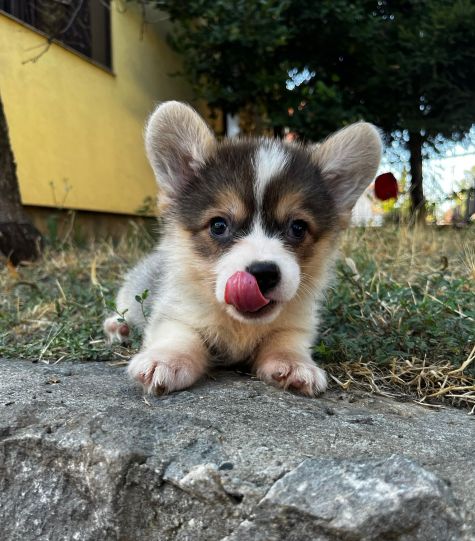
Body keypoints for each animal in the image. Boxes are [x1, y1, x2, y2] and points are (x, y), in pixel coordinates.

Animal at [105, 102, 384, 396]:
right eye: (218, 225)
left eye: (298, 227)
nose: (263, 273)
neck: (241, 326)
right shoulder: (177, 312)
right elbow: (181, 335)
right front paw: (166, 360)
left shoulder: (296, 326)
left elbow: (286, 342)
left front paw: (296, 365)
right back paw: (118, 328)